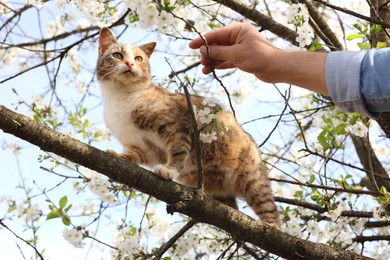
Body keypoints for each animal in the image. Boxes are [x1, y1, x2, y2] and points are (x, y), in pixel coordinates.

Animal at [96, 27, 282, 228]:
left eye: (139, 58)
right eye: (117, 55)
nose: (130, 63)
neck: (122, 96)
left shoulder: (178, 126)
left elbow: (178, 152)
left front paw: (168, 170)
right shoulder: (143, 148)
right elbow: (132, 155)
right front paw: (118, 156)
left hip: (252, 178)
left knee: (269, 208)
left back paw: (271, 227)